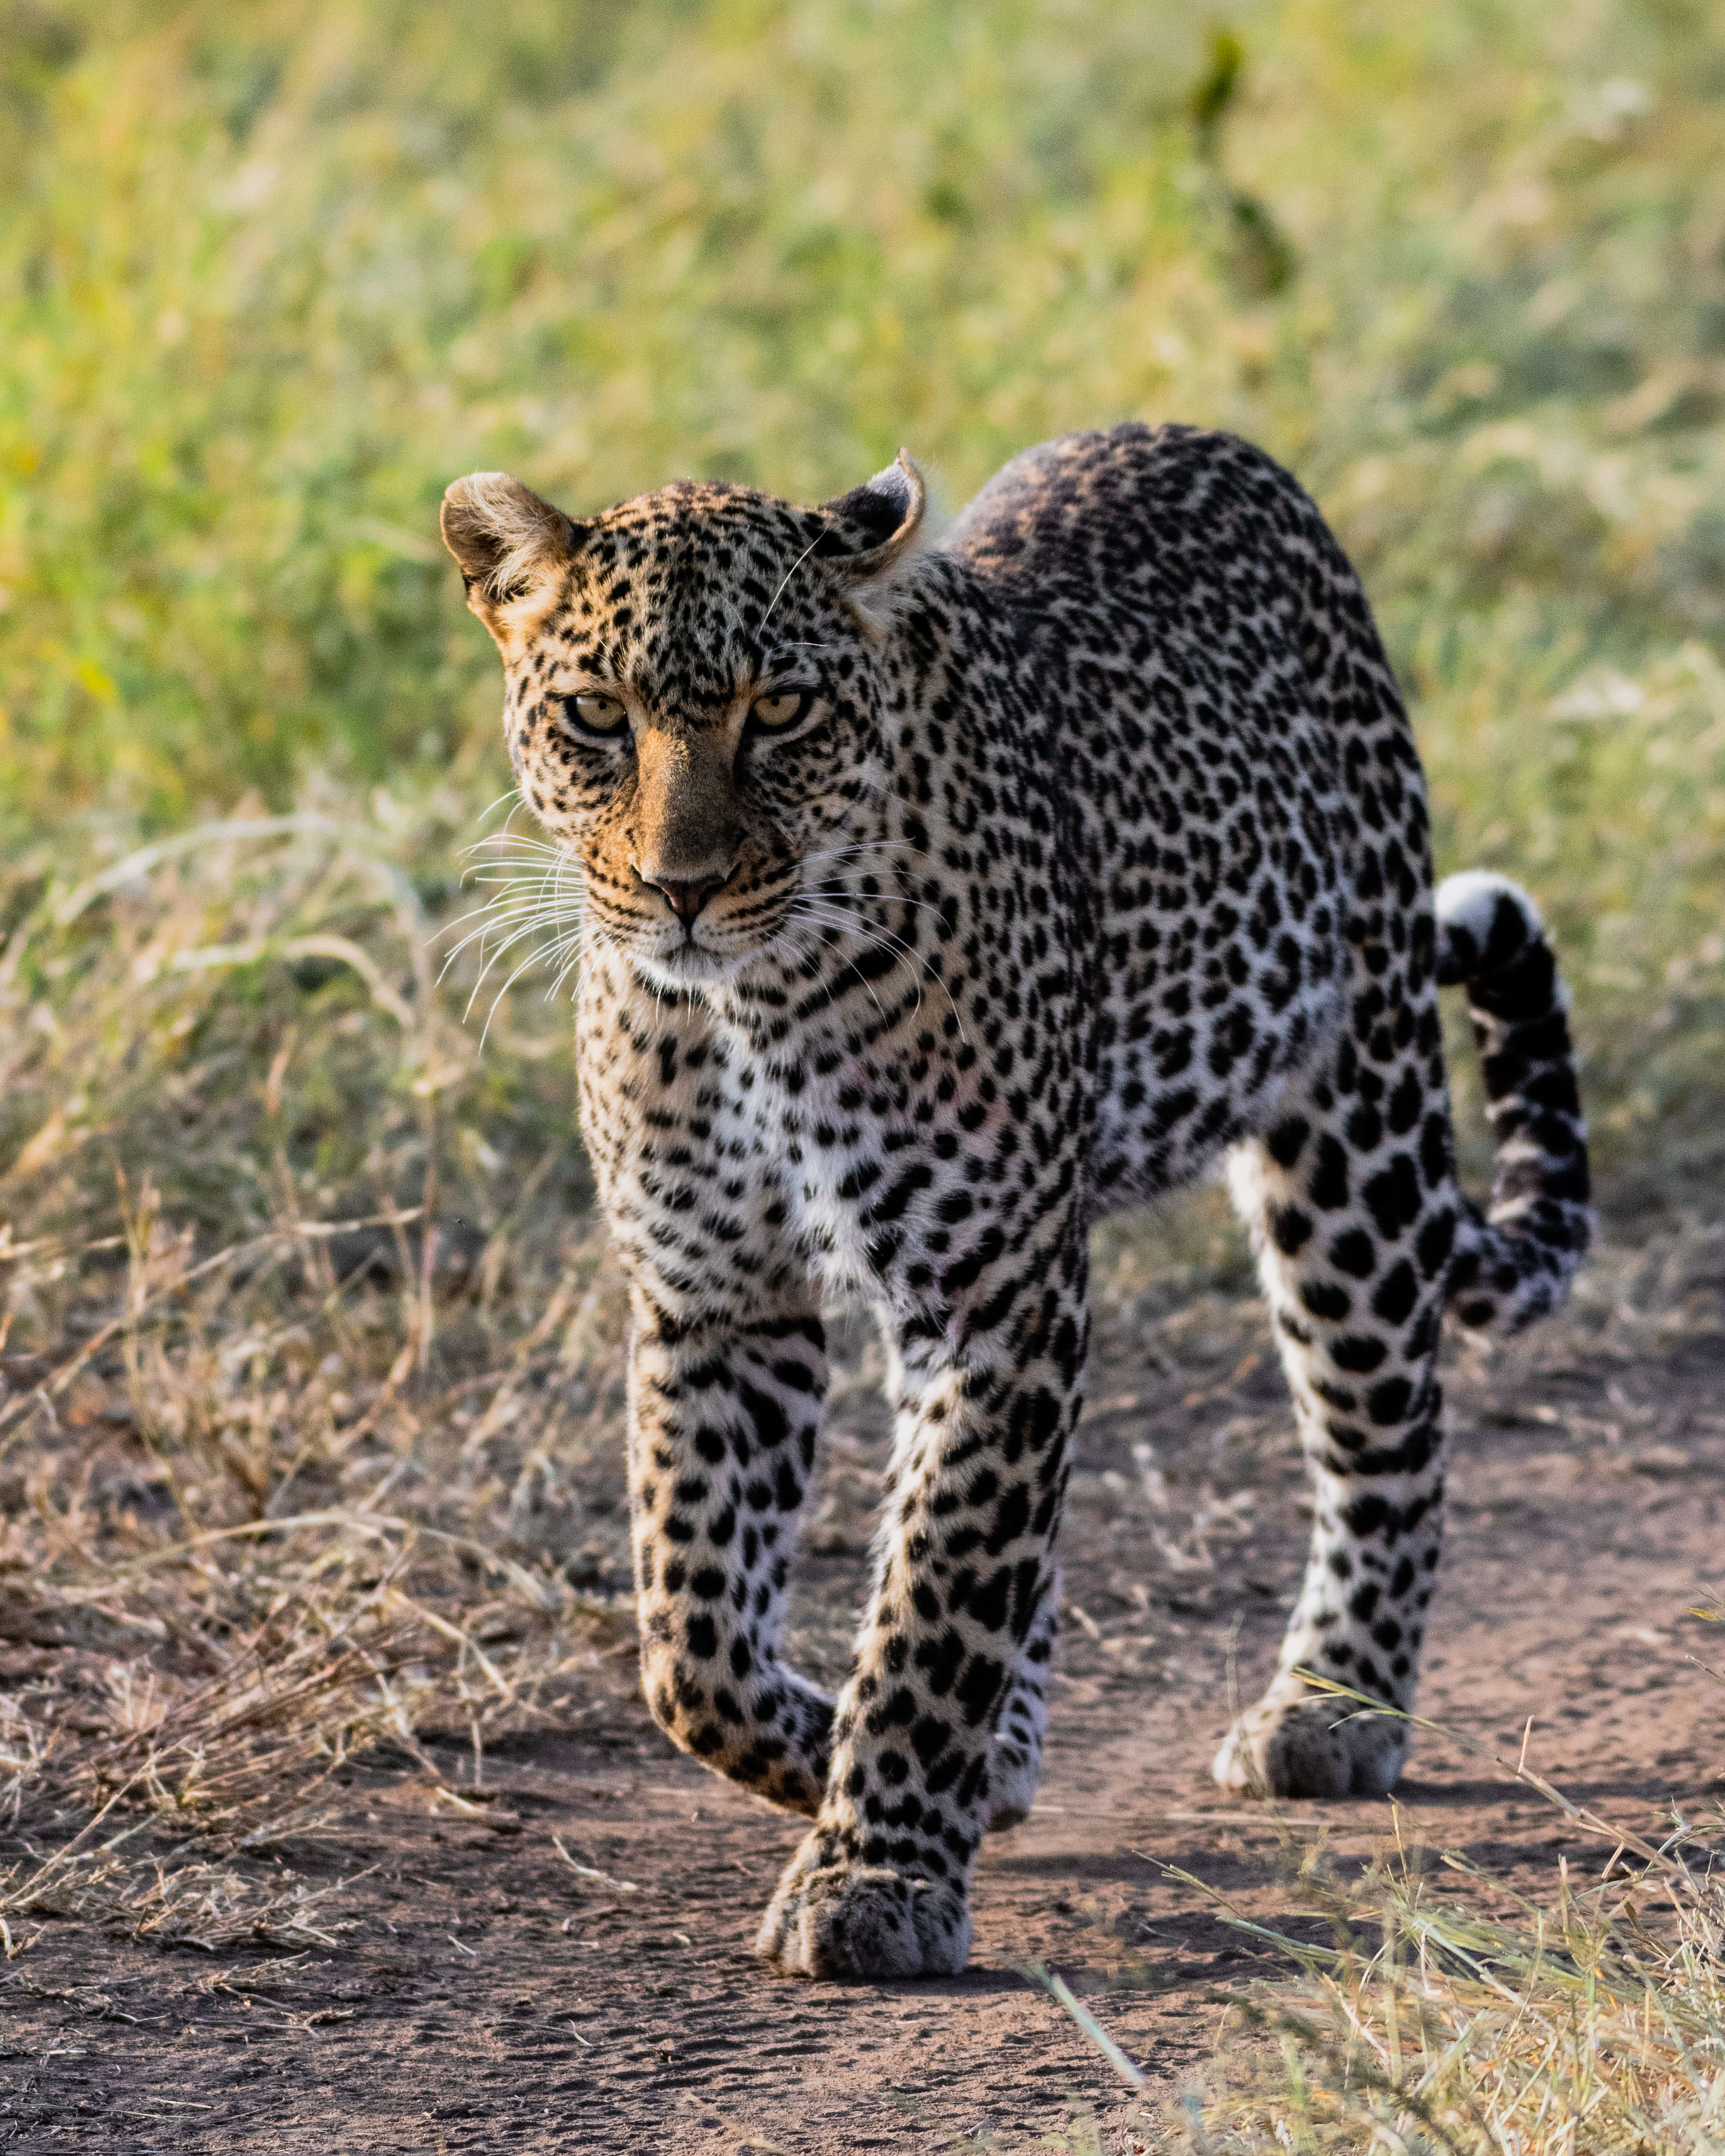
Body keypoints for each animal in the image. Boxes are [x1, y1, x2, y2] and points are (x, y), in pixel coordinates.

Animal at [440, 422, 1591, 1982]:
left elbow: (931, 1602)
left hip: (1351, 1126)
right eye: (595, 715)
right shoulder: (717, 1297)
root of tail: (1199, 439)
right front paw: (861, 1761)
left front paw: (876, 1869)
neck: (744, 1006)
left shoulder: (989, 1297)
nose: (681, 887)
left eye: (781, 709)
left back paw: (1330, 1703)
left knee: (1381, 1433)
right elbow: (692, 1637)